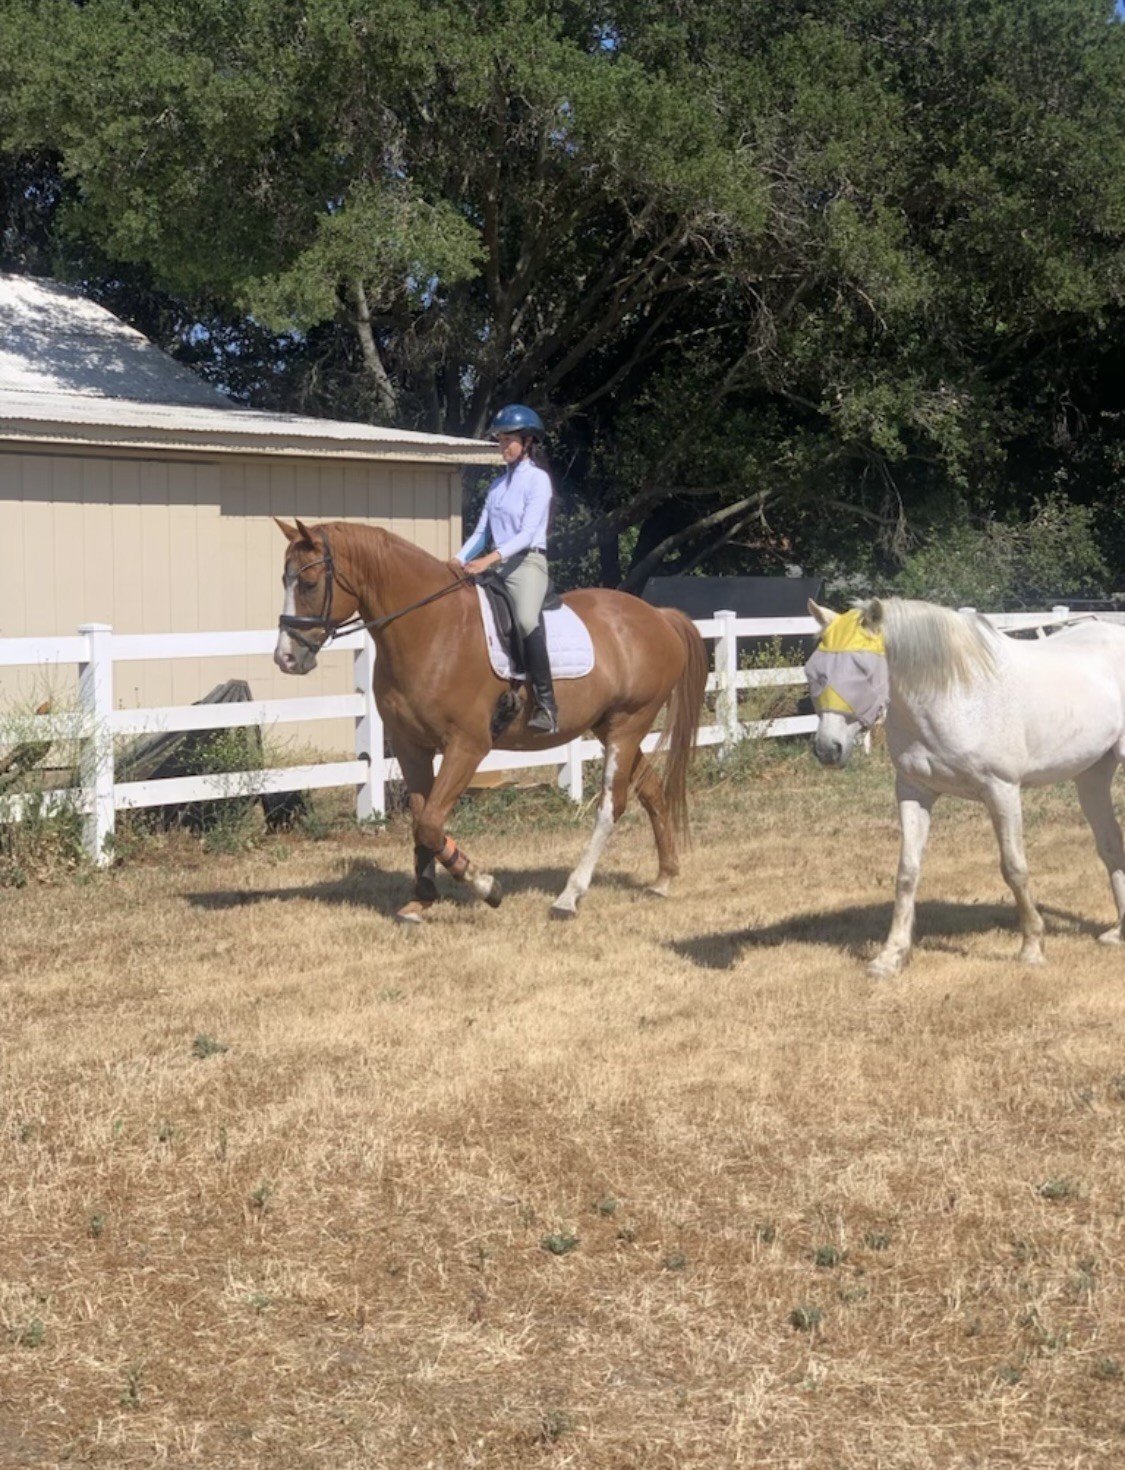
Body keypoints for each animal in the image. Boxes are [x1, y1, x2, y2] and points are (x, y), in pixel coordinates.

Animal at [272, 523, 705, 923]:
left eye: (309, 583)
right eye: (283, 580)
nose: (286, 658)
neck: (431, 628)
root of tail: (657, 616)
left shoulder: (467, 746)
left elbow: (431, 823)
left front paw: (485, 886)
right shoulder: (412, 746)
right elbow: (421, 822)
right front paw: (421, 900)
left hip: (627, 725)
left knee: (611, 805)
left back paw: (568, 897)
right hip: (609, 727)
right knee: (651, 790)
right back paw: (664, 879)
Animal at [805, 596, 1125, 976]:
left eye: (863, 670)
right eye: (813, 670)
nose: (828, 749)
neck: (954, 695)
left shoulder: (1001, 789)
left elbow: (1014, 867)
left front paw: (1032, 948)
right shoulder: (913, 791)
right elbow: (907, 872)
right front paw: (890, 957)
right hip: (1092, 774)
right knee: (1111, 844)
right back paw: (1118, 933)